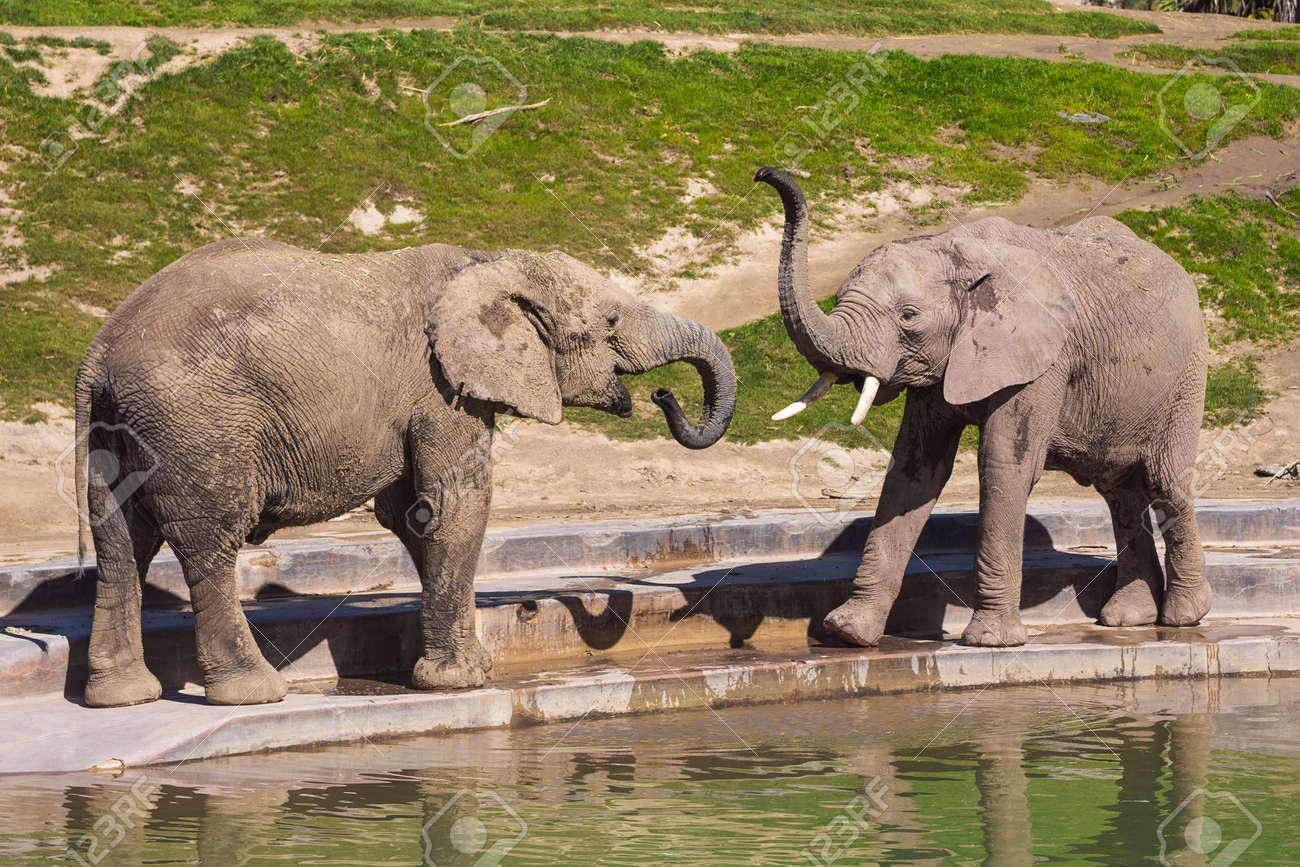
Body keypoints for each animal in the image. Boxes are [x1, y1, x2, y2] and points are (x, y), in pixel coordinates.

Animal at [73, 239, 736, 706]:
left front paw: (470, 668)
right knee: (209, 543)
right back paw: (253, 693)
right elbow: (456, 504)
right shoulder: (440, 388)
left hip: (118, 431)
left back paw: (120, 698)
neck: (487, 263)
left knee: (121, 544)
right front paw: (461, 681)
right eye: (609, 326)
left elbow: (413, 515)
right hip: (197, 423)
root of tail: (99, 352)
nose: (661, 397)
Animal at [755, 167, 1209, 648]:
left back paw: (1183, 617)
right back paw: (1127, 620)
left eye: (909, 316)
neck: (954, 250)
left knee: (1165, 480)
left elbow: (1003, 465)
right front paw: (848, 633)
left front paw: (989, 641)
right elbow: (914, 471)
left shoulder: (1042, 358)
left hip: (1187, 373)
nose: (766, 173)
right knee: (1118, 490)